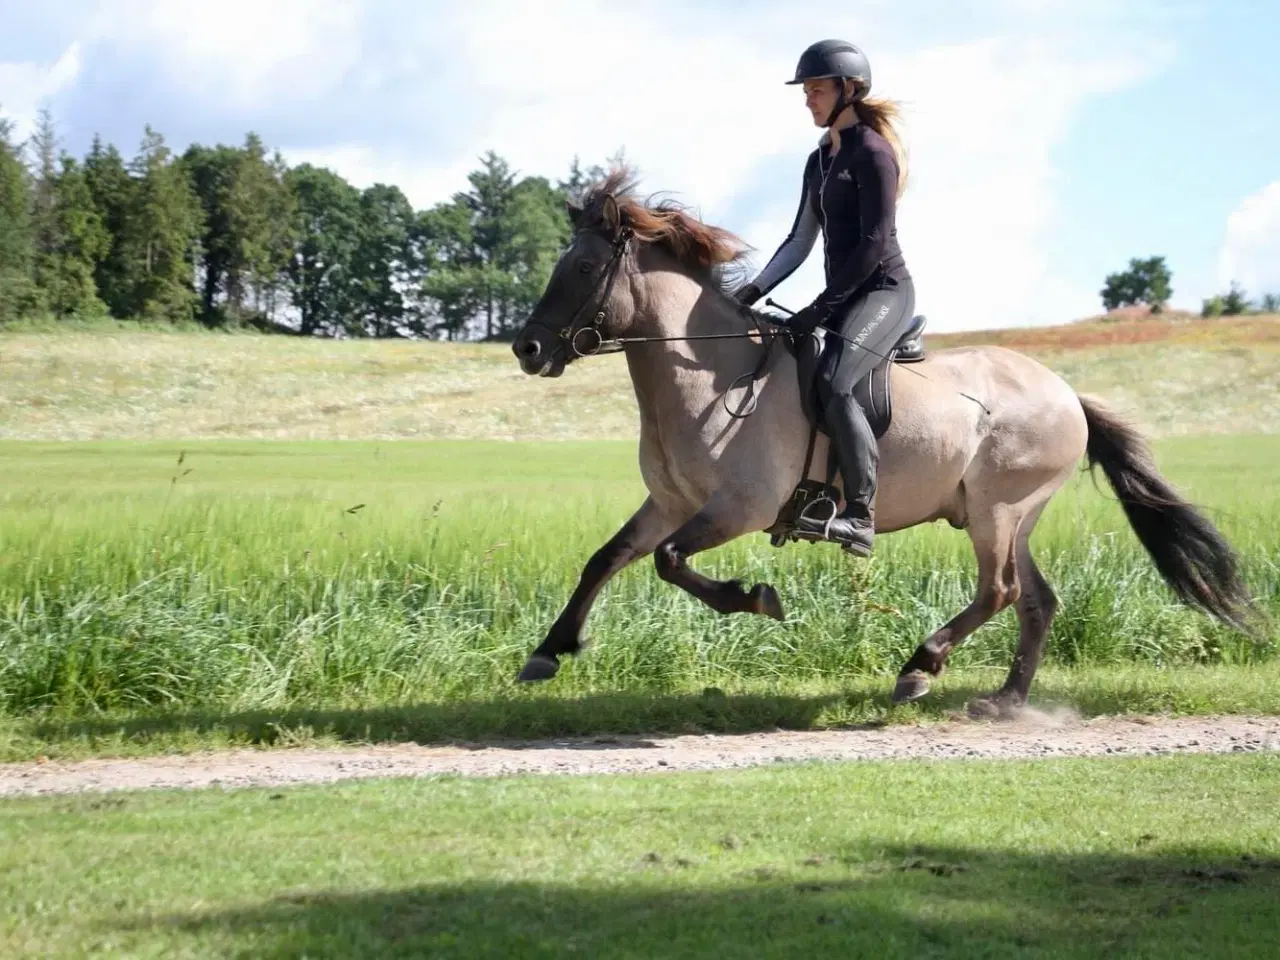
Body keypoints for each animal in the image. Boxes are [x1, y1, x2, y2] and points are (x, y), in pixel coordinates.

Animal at [504, 167, 1254, 721]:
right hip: (1011, 518)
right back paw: (1004, 701)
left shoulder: (739, 507)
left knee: (1001, 590)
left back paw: (920, 668)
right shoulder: (669, 502)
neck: (707, 371)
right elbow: (606, 560)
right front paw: (548, 651)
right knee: (1036, 600)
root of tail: (1067, 393)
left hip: (998, 511)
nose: (527, 349)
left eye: (583, 268)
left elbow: (669, 562)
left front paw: (757, 599)